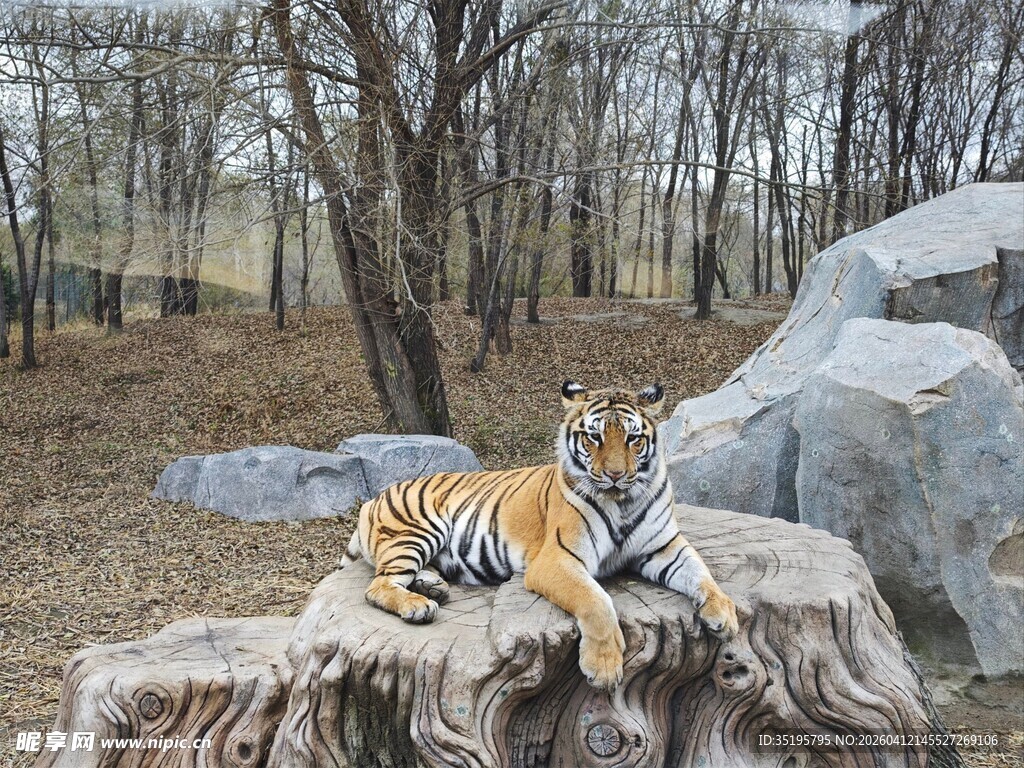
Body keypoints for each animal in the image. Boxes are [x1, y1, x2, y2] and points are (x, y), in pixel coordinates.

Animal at [340, 380, 739, 691]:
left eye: (632, 439)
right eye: (594, 438)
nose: (614, 475)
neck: (622, 501)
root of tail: (373, 498)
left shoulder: (664, 546)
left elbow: (701, 573)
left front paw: (724, 614)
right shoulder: (558, 558)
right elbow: (596, 601)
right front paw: (604, 666)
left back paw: (432, 586)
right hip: (418, 530)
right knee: (377, 585)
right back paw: (418, 605)